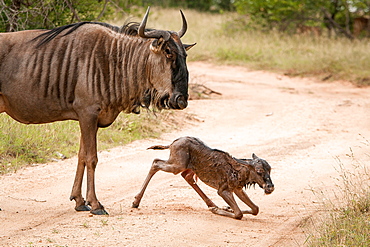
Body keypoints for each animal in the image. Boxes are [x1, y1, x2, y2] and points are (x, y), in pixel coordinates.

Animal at [132, 137, 274, 220]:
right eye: (259, 171)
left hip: (187, 167)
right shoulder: (223, 190)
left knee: (186, 176)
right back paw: (136, 201)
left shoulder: (237, 189)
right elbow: (239, 214)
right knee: (156, 162)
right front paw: (218, 210)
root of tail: (173, 143)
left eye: (270, 169)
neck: (241, 173)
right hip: (177, 165)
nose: (270, 187)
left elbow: (255, 209)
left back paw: (212, 204)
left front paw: (225, 207)